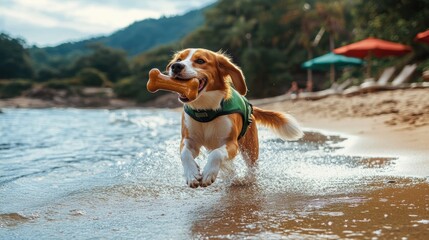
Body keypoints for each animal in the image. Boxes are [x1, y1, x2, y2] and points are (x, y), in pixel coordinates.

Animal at [166, 48, 302, 188]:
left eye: (200, 61)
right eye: (179, 59)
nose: (176, 66)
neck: (206, 110)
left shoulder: (231, 143)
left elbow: (216, 154)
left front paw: (208, 173)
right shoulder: (189, 140)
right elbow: (185, 154)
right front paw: (191, 174)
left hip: (250, 146)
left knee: (252, 166)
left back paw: (247, 179)